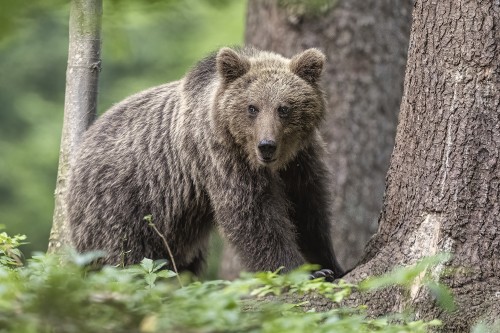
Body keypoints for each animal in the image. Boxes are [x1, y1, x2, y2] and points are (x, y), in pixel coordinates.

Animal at [67, 46, 344, 278]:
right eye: (252, 107)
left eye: (284, 108)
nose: (266, 145)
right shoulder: (222, 157)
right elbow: (254, 216)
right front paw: (300, 271)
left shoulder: (300, 161)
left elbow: (309, 211)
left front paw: (329, 265)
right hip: (121, 204)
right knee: (125, 258)